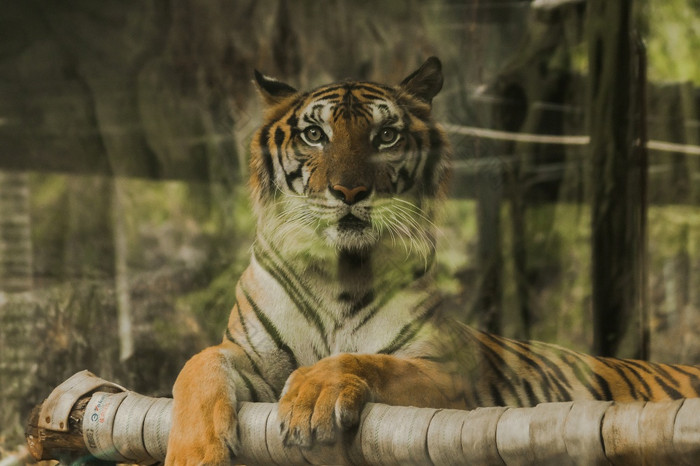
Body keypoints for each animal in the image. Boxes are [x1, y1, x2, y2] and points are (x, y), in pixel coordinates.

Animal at [165, 56, 700, 464]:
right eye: (314, 134)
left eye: (386, 136)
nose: (350, 191)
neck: (338, 272)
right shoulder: (250, 356)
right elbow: (196, 365)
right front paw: (193, 453)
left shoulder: (448, 374)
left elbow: (366, 360)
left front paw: (312, 396)